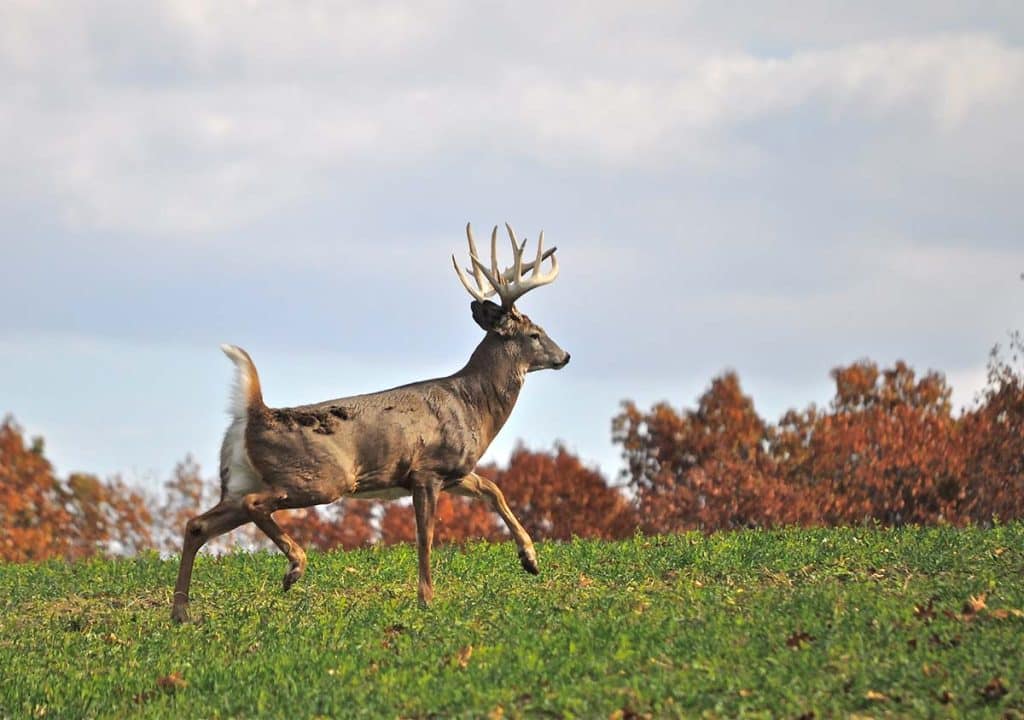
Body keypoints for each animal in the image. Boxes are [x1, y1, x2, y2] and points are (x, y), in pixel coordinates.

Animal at [170, 223, 570, 622]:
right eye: (534, 334)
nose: (565, 355)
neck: (472, 404)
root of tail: (254, 412)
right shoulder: (426, 471)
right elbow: (425, 536)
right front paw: (427, 599)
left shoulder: (454, 471)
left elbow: (493, 489)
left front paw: (530, 559)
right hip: (319, 477)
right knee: (254, 505)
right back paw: (294, 567)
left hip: (239, 480)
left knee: (198, 524)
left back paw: (181, 612)